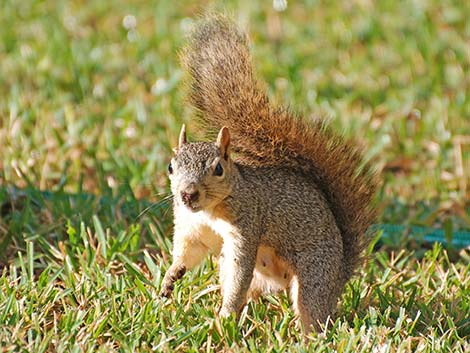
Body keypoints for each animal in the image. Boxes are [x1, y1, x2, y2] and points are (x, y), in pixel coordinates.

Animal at [159, 15, 378, 332]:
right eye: (171, 167)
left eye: (218, 169)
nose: (188, 194)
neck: (209, 211)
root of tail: (341, 272)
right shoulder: (191, 227)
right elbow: (190, 252)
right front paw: (171, 276)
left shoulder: (247, 226)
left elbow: (240, 271)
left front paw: (224, 317)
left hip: (315, 276)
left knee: (310, 309)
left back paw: (307, 336)